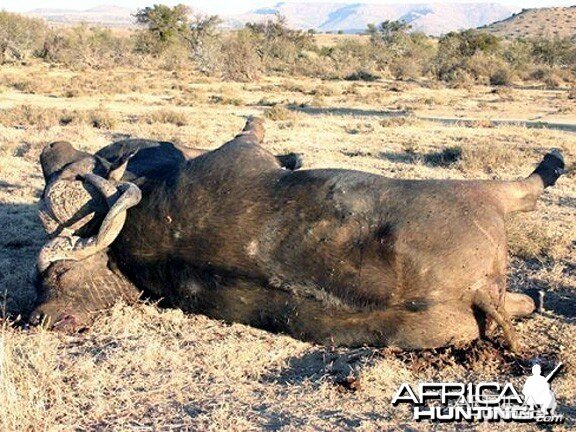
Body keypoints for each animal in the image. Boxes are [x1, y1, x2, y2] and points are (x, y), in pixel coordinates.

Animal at [30, 117, 564, 352]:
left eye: (52, 278)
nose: (50, 148)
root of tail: (476, 289)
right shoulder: (243, 146)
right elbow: (255, 126)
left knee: (525, 301)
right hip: (489, 195)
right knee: (528, 191)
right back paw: (553, 162)